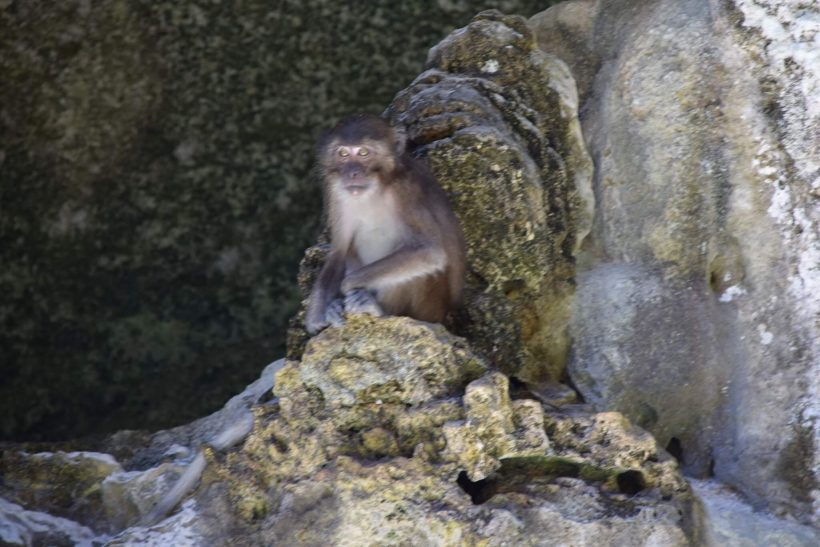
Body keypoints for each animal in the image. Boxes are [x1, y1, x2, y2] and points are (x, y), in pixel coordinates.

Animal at [304, 114, 465, 335]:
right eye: (343, 154)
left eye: (363, 153)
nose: (352, 172)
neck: (375, 188)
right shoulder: (335, 192)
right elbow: (339, 252)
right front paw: (319, 313)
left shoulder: (404, 190)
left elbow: (429, 252)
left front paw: (347, 286)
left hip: (428, 306)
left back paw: (378, 307)